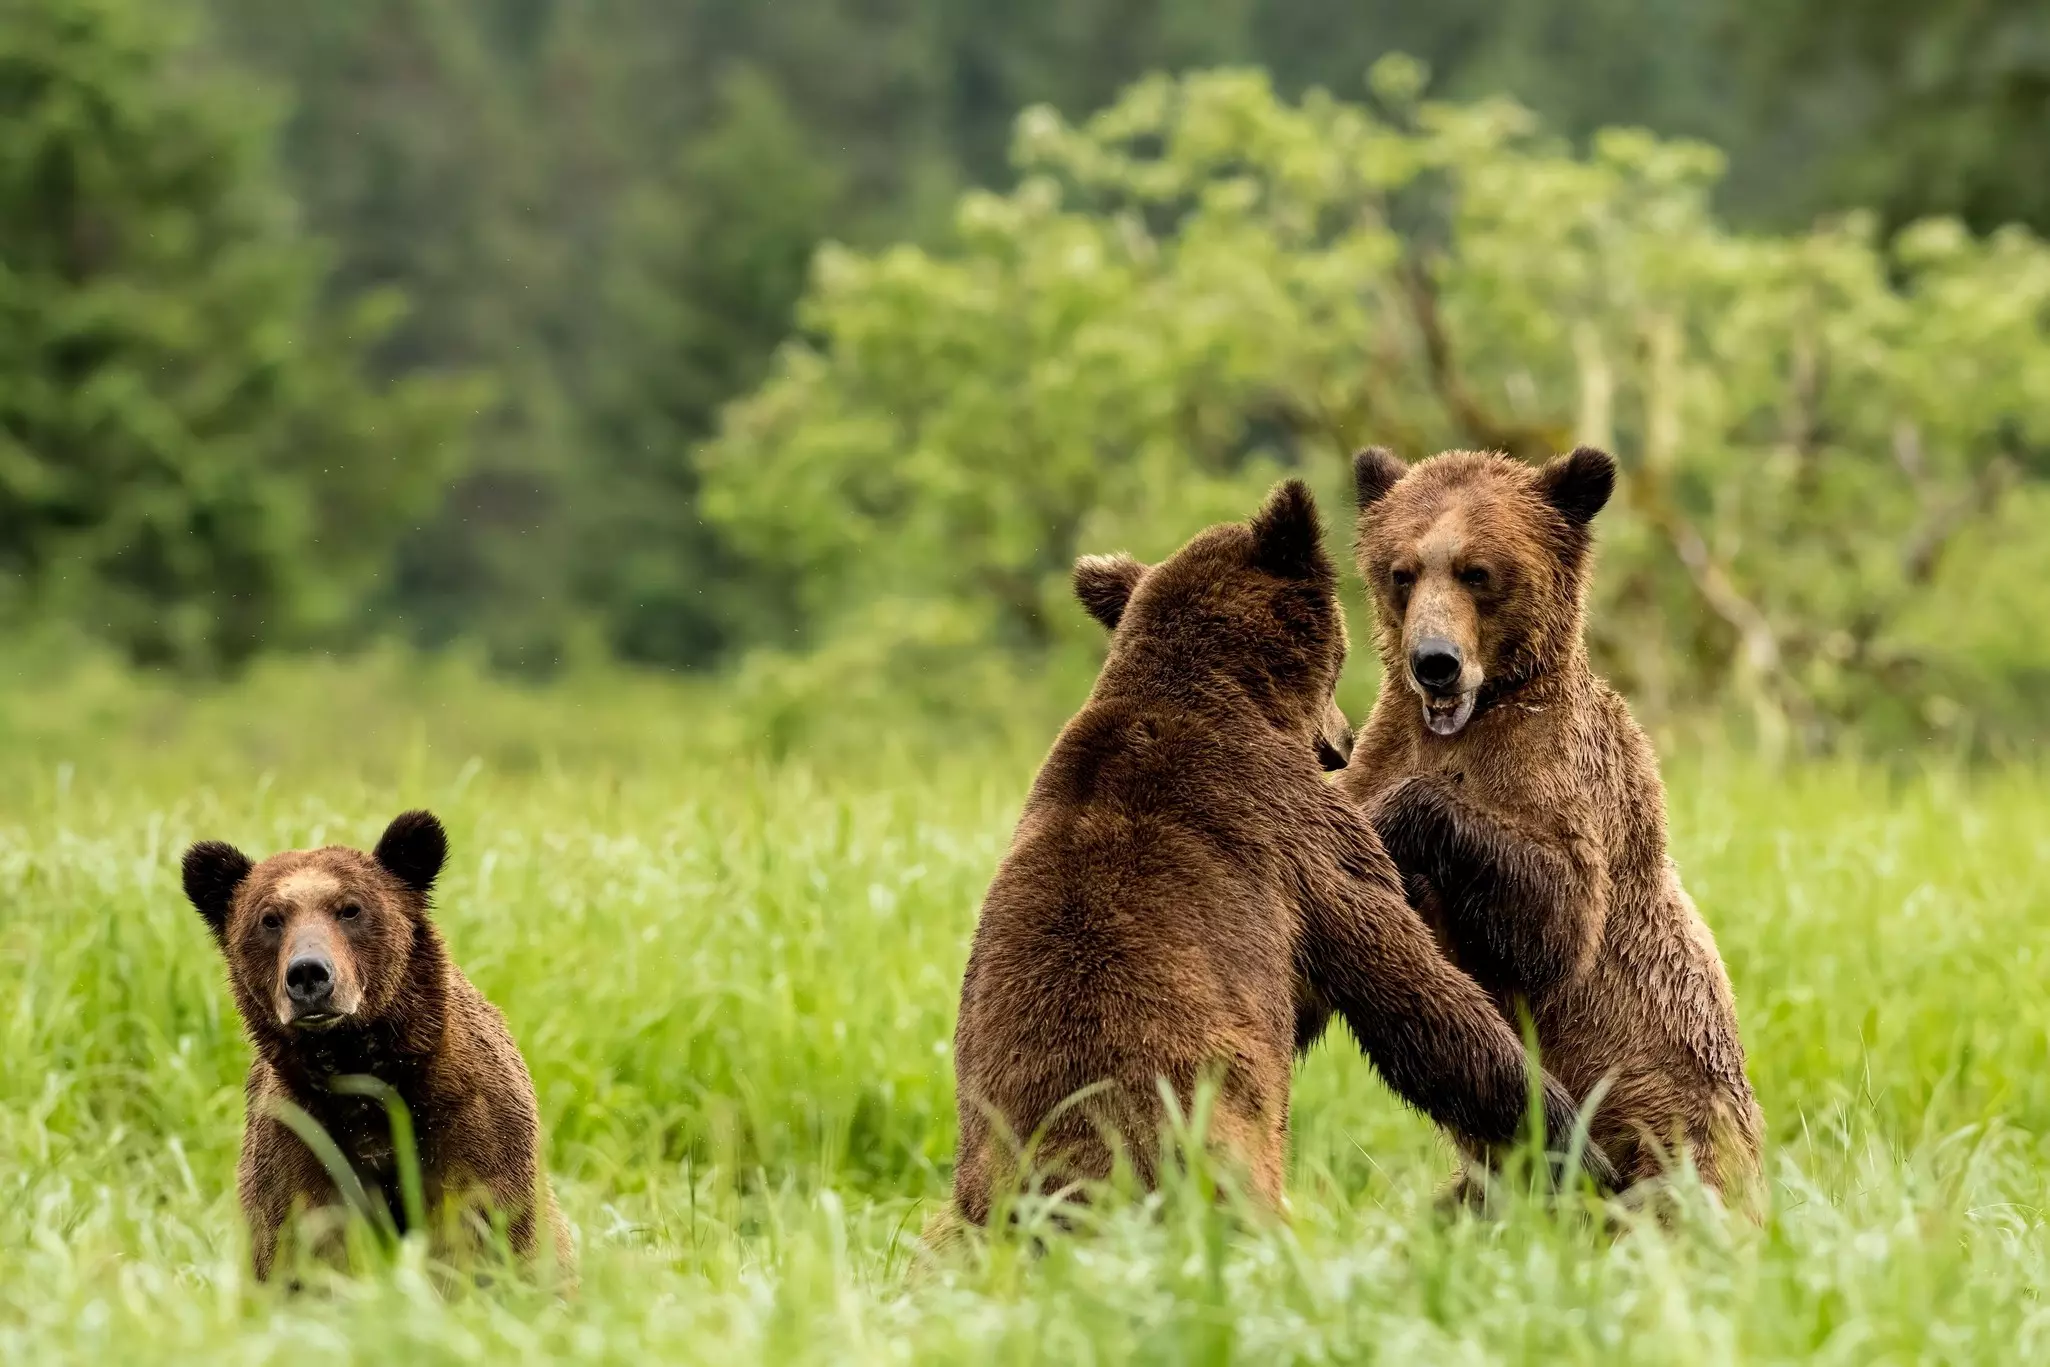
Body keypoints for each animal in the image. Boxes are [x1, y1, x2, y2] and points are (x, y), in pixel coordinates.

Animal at [181, 810, 574, 1281]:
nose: (309, 974)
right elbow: (303, 1252)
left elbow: (480, 1235)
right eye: (270, 918)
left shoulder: (472, 1129)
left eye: (351, 909)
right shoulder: (301, 1146)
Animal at [1341, 444, 1764, 1203]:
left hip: (1672, 1118)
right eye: (1402, 571)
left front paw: (1392, 820)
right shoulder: (1384, 744)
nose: (1435, 662)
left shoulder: (1565, 776)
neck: (1466, 723)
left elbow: (1558, 920)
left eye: (1478, 570)